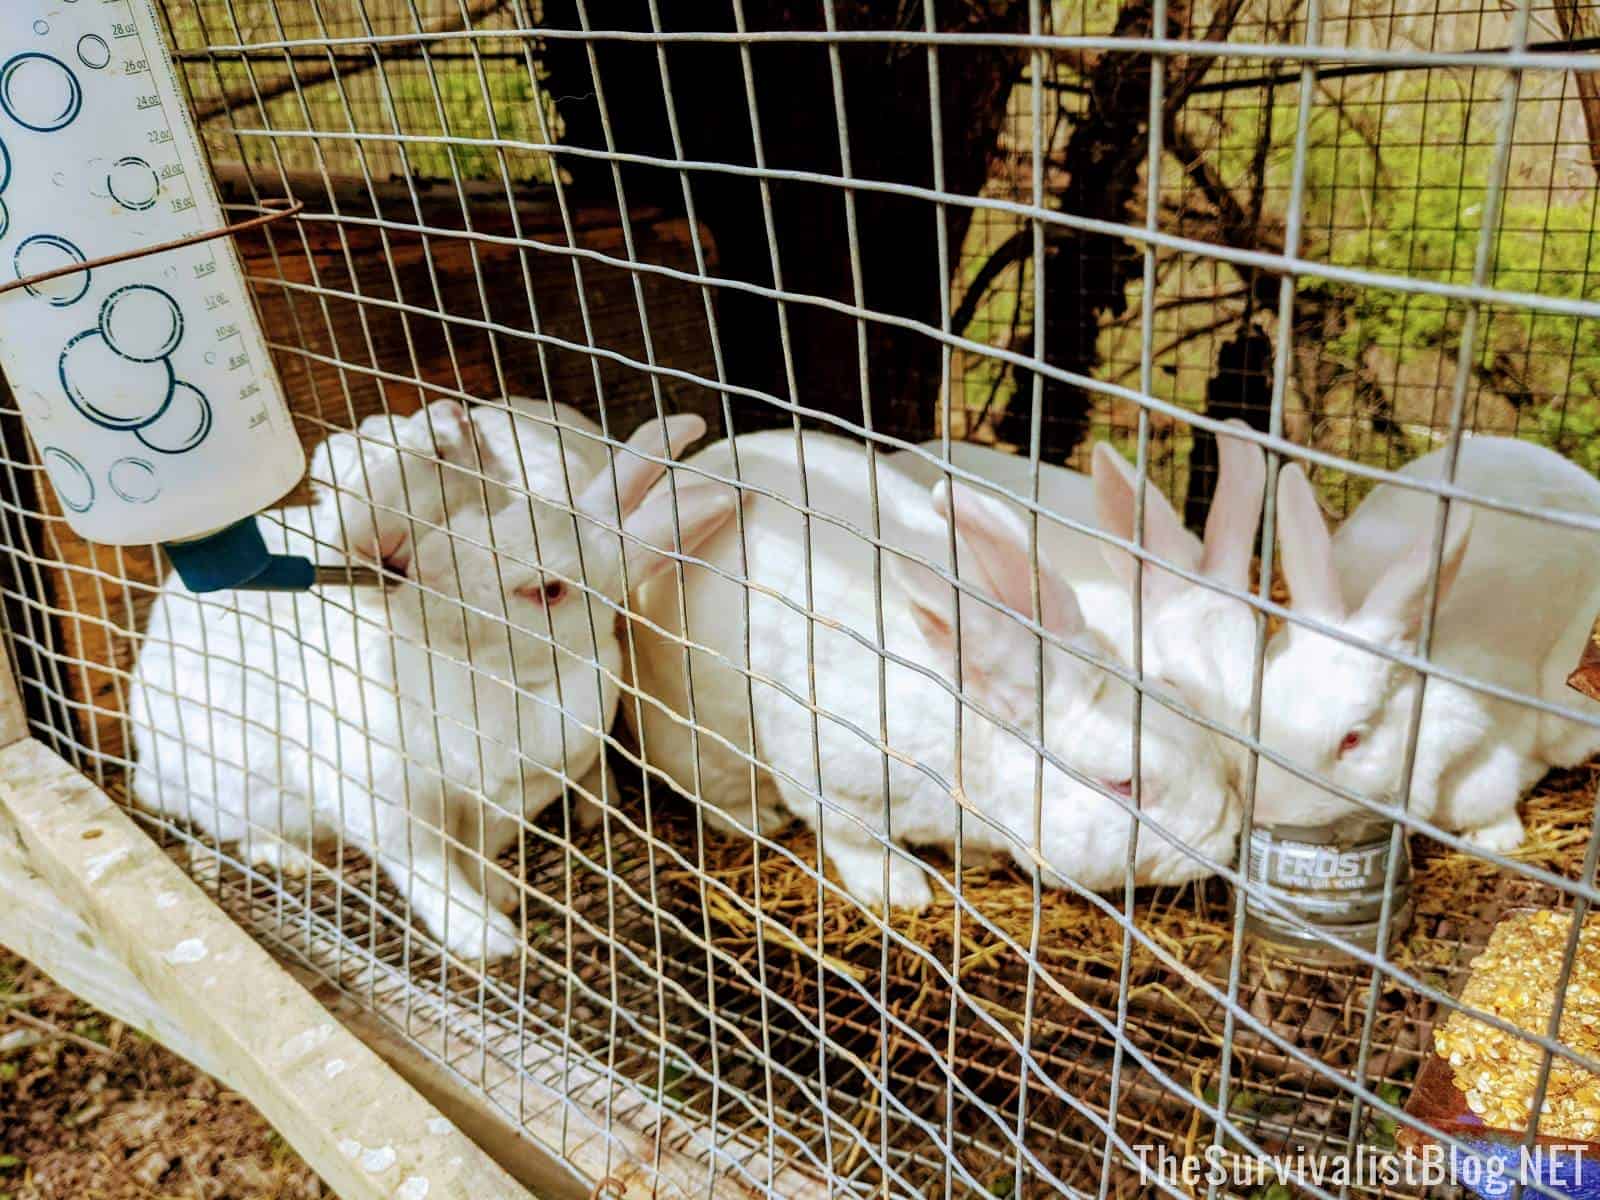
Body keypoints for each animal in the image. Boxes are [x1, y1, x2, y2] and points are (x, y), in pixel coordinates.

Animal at [129, 409, 732, 966]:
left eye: (548, 590)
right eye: (477, 525)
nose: (427, 573)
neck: (501, 676)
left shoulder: (510, 802)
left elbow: (474, 855)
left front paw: (500, 897)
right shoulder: (385, 800)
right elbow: (427, 867)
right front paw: (486, 937)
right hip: (230, 783)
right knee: (234, 826)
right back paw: (289, 856)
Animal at [620, 432, 1235, 908]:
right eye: (1124, 784)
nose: (1226, 842)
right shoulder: (828, 776)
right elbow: (856, 840)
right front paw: (900, 894)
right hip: (689, 739)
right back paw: (758, 822)